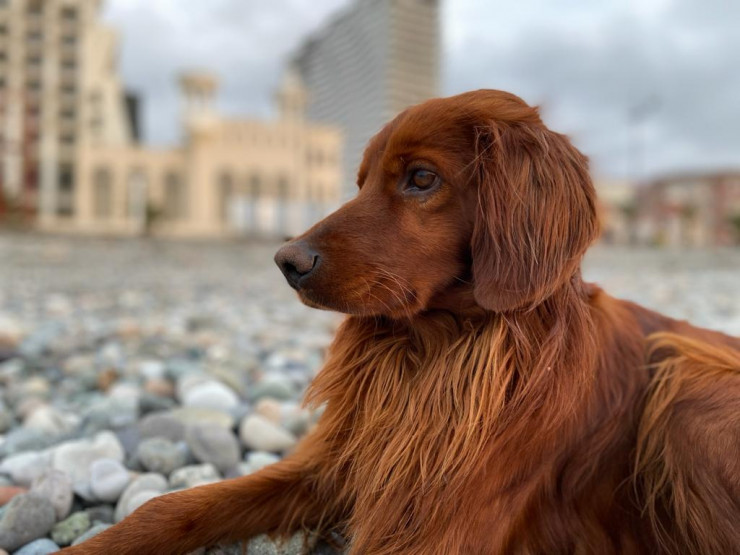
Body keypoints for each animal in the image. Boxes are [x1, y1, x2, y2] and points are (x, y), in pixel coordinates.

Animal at [67, 90, 740, 554]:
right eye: (360, 181)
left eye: (420, 178)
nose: (286, 261)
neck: (429, 350)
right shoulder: (338, 465)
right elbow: (167, 507)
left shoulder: (441, 524)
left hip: (684, 388)